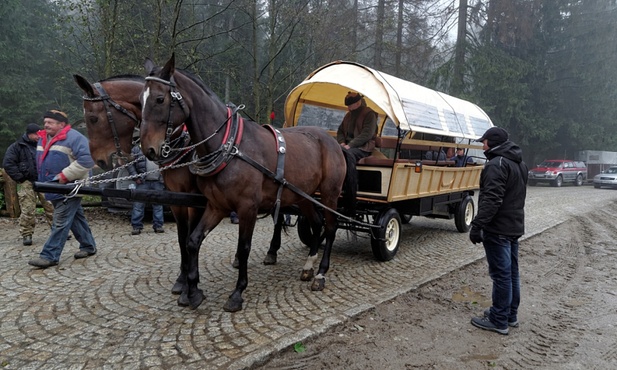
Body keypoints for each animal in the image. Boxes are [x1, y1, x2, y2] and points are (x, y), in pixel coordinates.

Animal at [74, 74, 296, 306]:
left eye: (93, 118)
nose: (100, 160)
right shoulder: (177, 199)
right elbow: (182, 238)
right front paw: (182, 281)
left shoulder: (195, 200)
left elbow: (191, 236)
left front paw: (190, 286)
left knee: (279, 217)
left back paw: (272, 251)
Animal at [137, 55, 354, 312]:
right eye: (140, 100)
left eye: (160, 99)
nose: (148, 149)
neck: (229, 146)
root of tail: (333, 142)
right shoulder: (216, 206)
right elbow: (192, 241)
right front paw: (193, 291)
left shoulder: (247, 208)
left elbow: (244, 247)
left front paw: (237, 293)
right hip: (303, 196)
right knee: (317, 223)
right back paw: (308, 267)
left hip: (330, 194)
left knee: (330, 227)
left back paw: (321, 274)